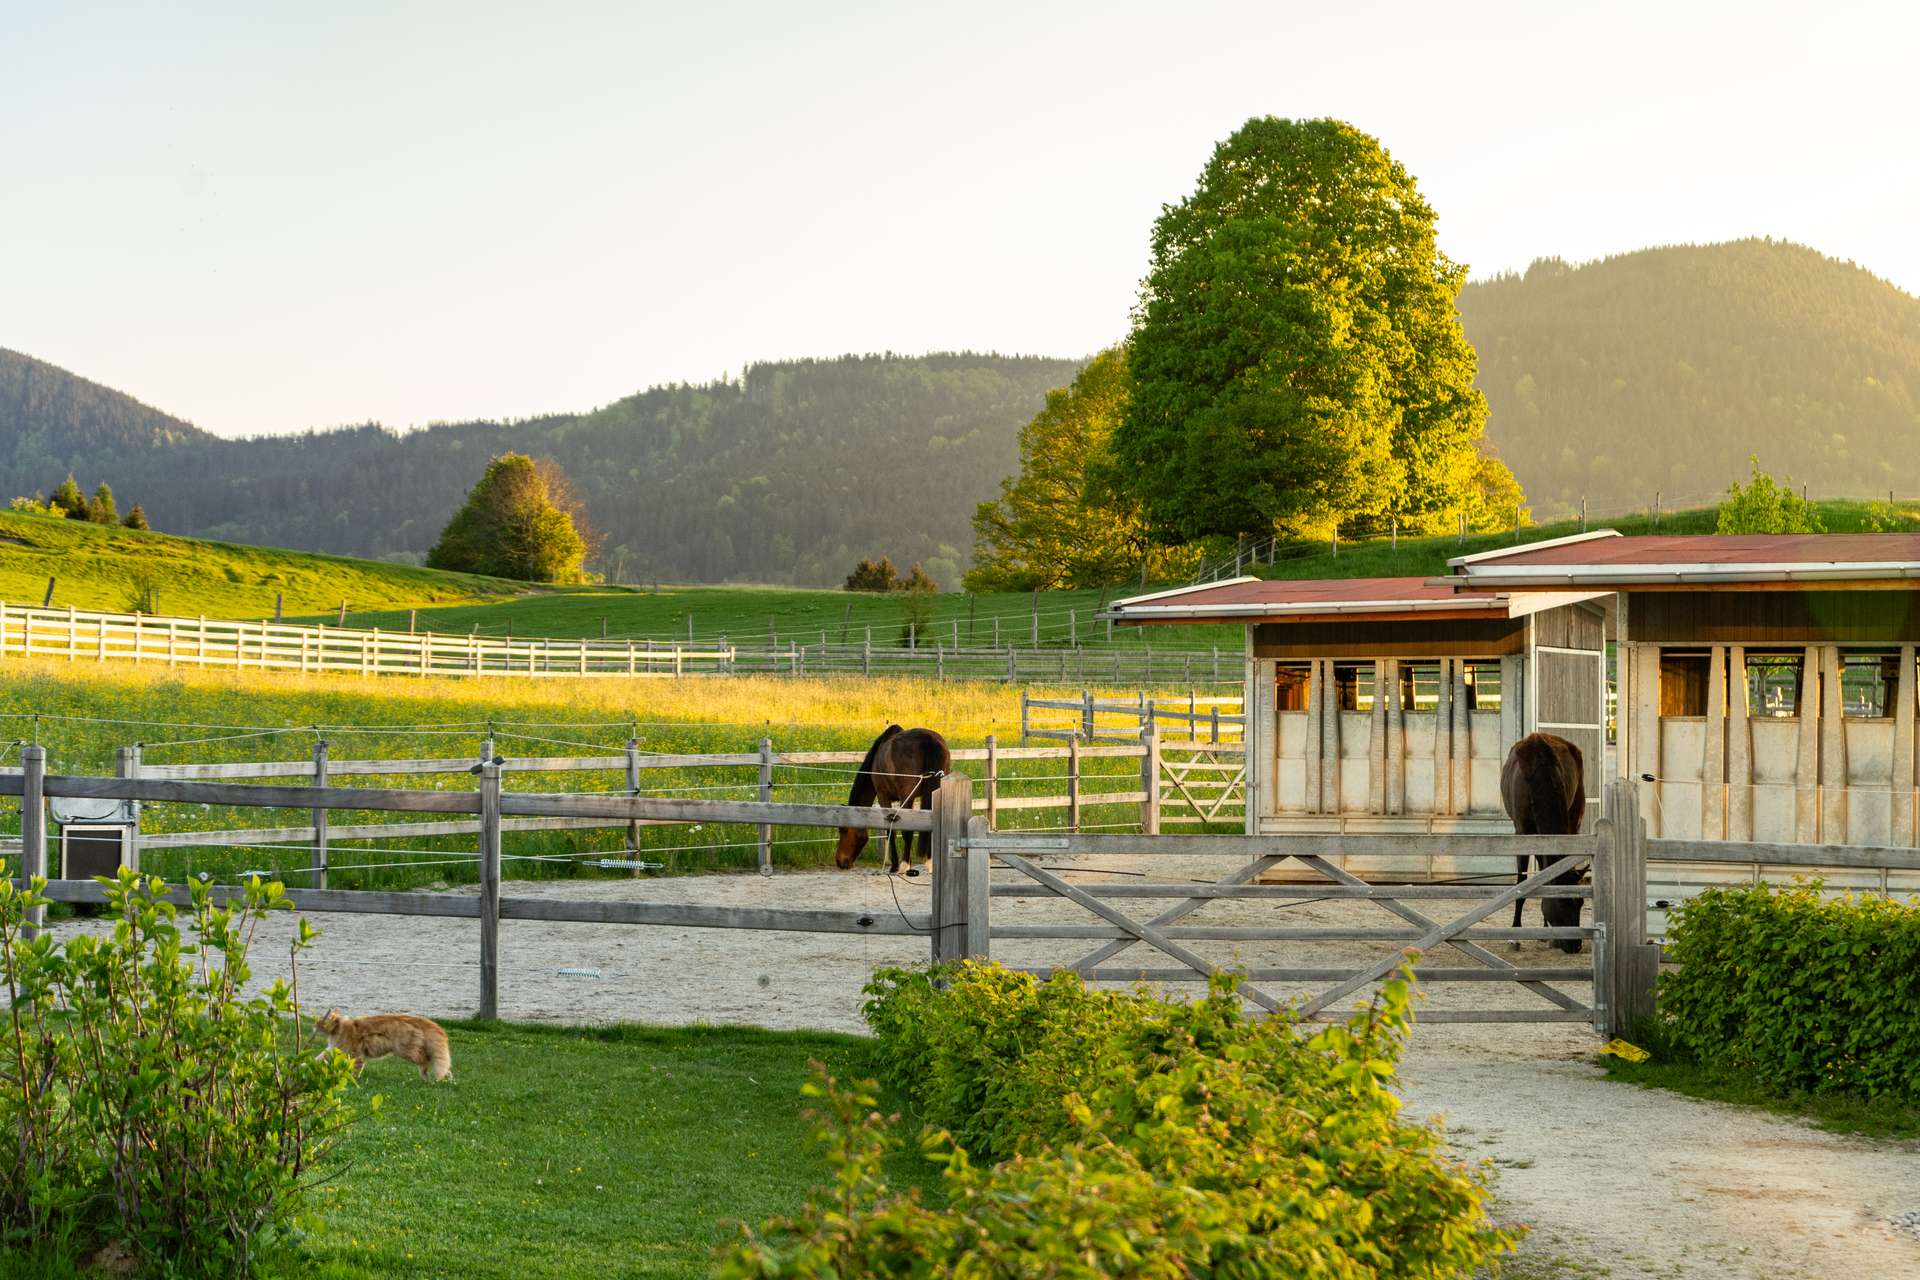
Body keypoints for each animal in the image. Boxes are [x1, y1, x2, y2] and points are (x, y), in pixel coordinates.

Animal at [314, 1008, 453, 1083]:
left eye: (319, 1021)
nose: (313, 1026)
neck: (339, 1027)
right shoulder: (334, 1050)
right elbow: (319, 1058)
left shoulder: (355, 1054)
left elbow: (355, 1069)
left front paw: (353, 1079)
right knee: (439, 1063)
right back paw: (448, 1079)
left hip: (406, 1051)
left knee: (425, 1061)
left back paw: (426, 1077)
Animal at [833, 725, 951, 872]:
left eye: (843, 830)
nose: (840, 861)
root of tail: (927, 738)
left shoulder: (883, 796)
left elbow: (891, 830)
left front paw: (895, 865)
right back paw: (930, 863)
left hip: (906, 796)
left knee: (907, 831)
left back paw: (905, 865)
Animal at [1500, 732, 1587, 954]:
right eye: (1562, 903)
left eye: (1581, 902)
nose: (1575, 945)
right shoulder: (1522, 832)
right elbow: (1522, 881)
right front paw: (1514, 935)